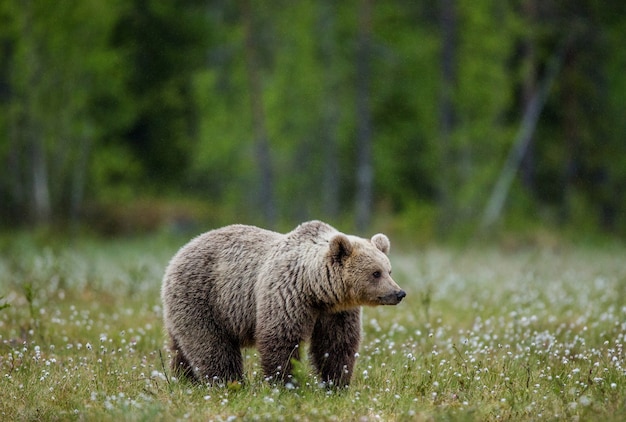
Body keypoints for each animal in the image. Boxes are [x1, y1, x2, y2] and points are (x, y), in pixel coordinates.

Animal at [161, 219, 404, 388]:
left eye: (389, 270)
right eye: (376, 273)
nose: (399, 293)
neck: (315, 290)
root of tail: (180, 251)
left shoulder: (336, 312)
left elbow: (336, 344)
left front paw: (337, 383)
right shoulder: (286, 294)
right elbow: (281, 339)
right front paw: (284, 383)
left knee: (181, 348)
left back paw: (185, 379)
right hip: (203, 297)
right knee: (210, 344)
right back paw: (229, 382)